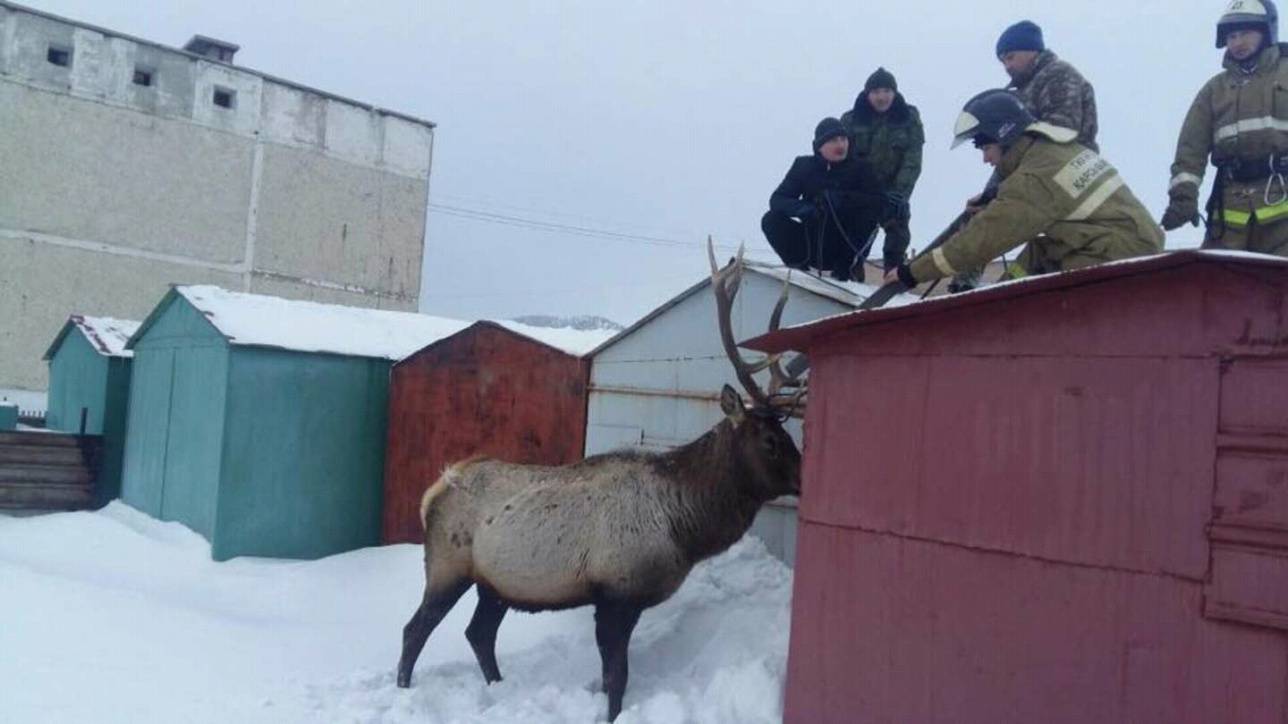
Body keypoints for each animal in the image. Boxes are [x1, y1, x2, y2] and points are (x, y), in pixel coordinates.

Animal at [396, 239, 808, 716]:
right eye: (770, 440)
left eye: (787, 433)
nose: (805, 476)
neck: (684, 530)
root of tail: (433, 492)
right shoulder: (614, 595)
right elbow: (617, 678)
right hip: (447, 565)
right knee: (416, 628)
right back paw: (405, 687)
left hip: (494, 584)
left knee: (478, 633)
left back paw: (496, 688)